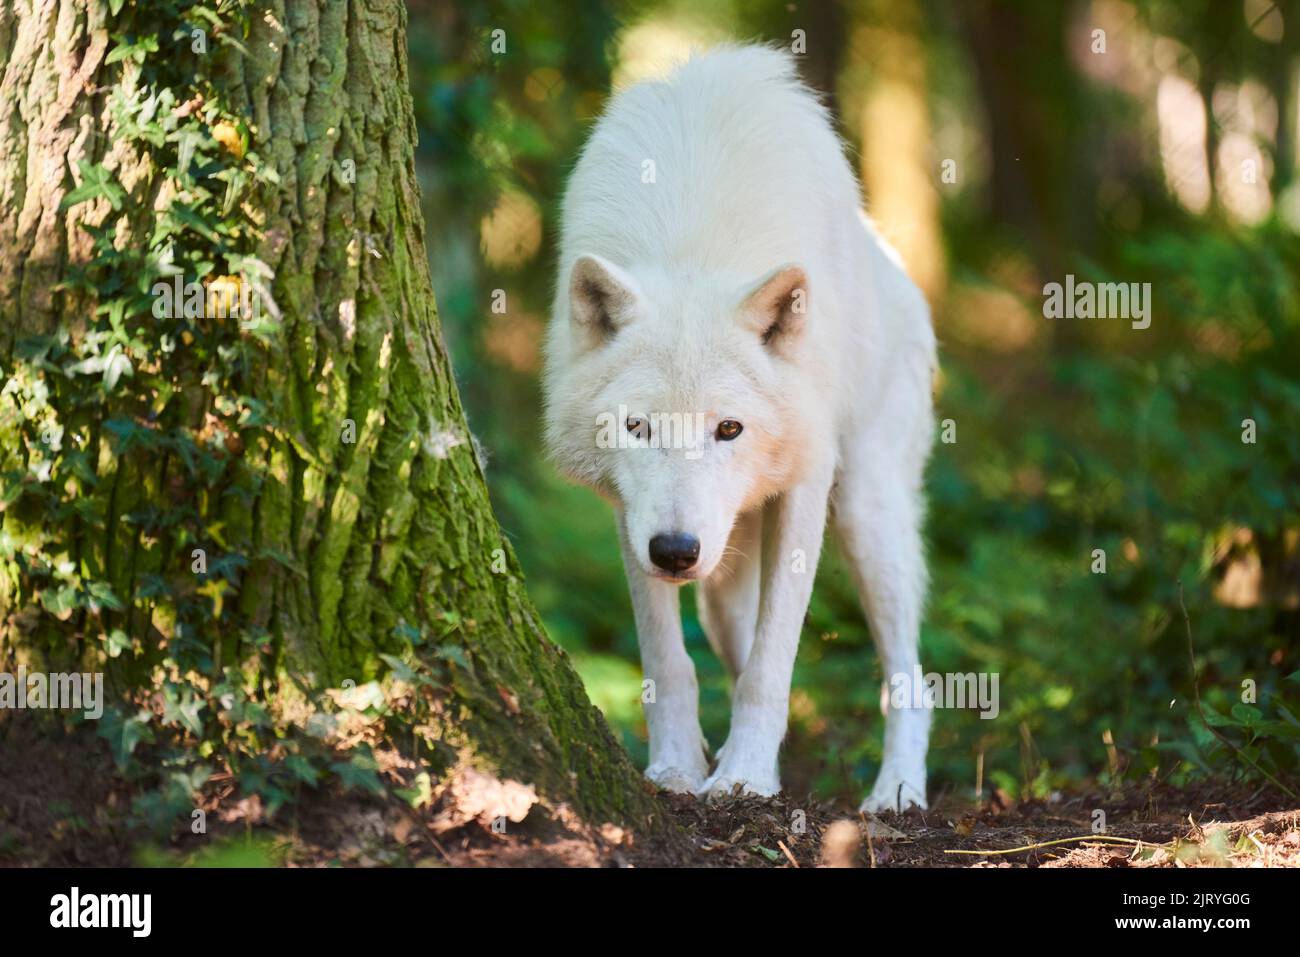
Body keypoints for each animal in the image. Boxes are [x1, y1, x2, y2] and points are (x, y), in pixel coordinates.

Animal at [542, 45, 936, 812]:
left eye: (729, 428)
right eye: (636, 426)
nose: (674, 551)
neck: (693, 242)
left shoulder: (808, 486)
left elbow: (771, 663)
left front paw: (747, 778)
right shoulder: (630, 511)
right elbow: (669, 661)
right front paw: (676, 770)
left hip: (867, 514)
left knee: (911, 678)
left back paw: (896, 792)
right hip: (724, 572)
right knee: (733, 634)